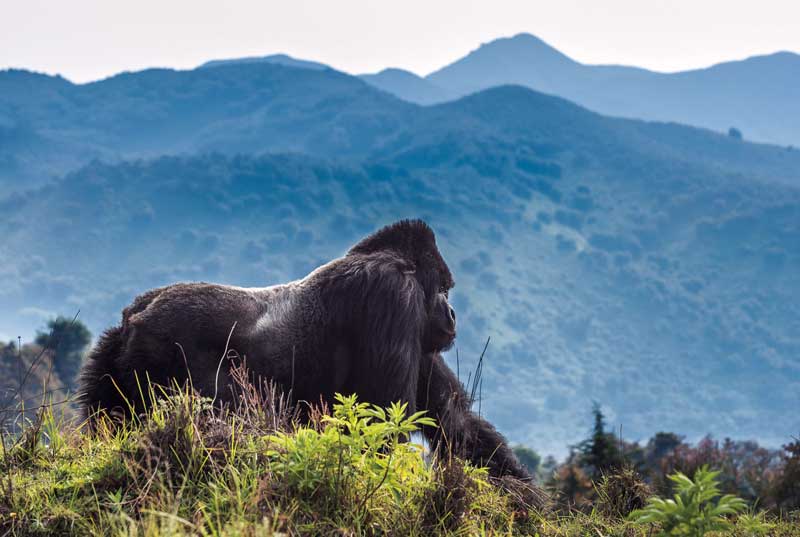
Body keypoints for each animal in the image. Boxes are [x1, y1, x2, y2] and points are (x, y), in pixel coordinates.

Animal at [78, 220, 532, 480]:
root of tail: (133, 314)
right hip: (159, 348)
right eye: (444, 290)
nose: (452, 314)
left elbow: (456, 423)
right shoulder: (393, 298)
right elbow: (383, 421)